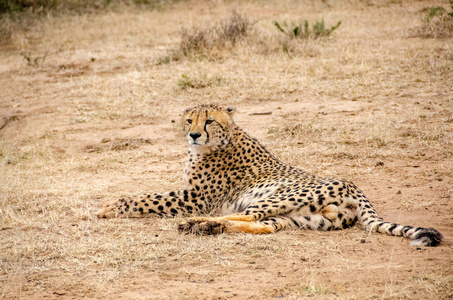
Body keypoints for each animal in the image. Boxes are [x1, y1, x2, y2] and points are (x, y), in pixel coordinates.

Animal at [98, 104, 442, 247]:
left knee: (246, 216)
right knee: (263, 226)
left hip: (278, 197)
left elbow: (146, 198)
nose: (194, 135)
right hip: (305, 218)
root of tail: (353, 185)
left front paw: (109, 208)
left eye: (209, 121)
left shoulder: (196, 199)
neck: (223, 139)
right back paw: (206, 228)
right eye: (188, 120)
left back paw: (198, 225)